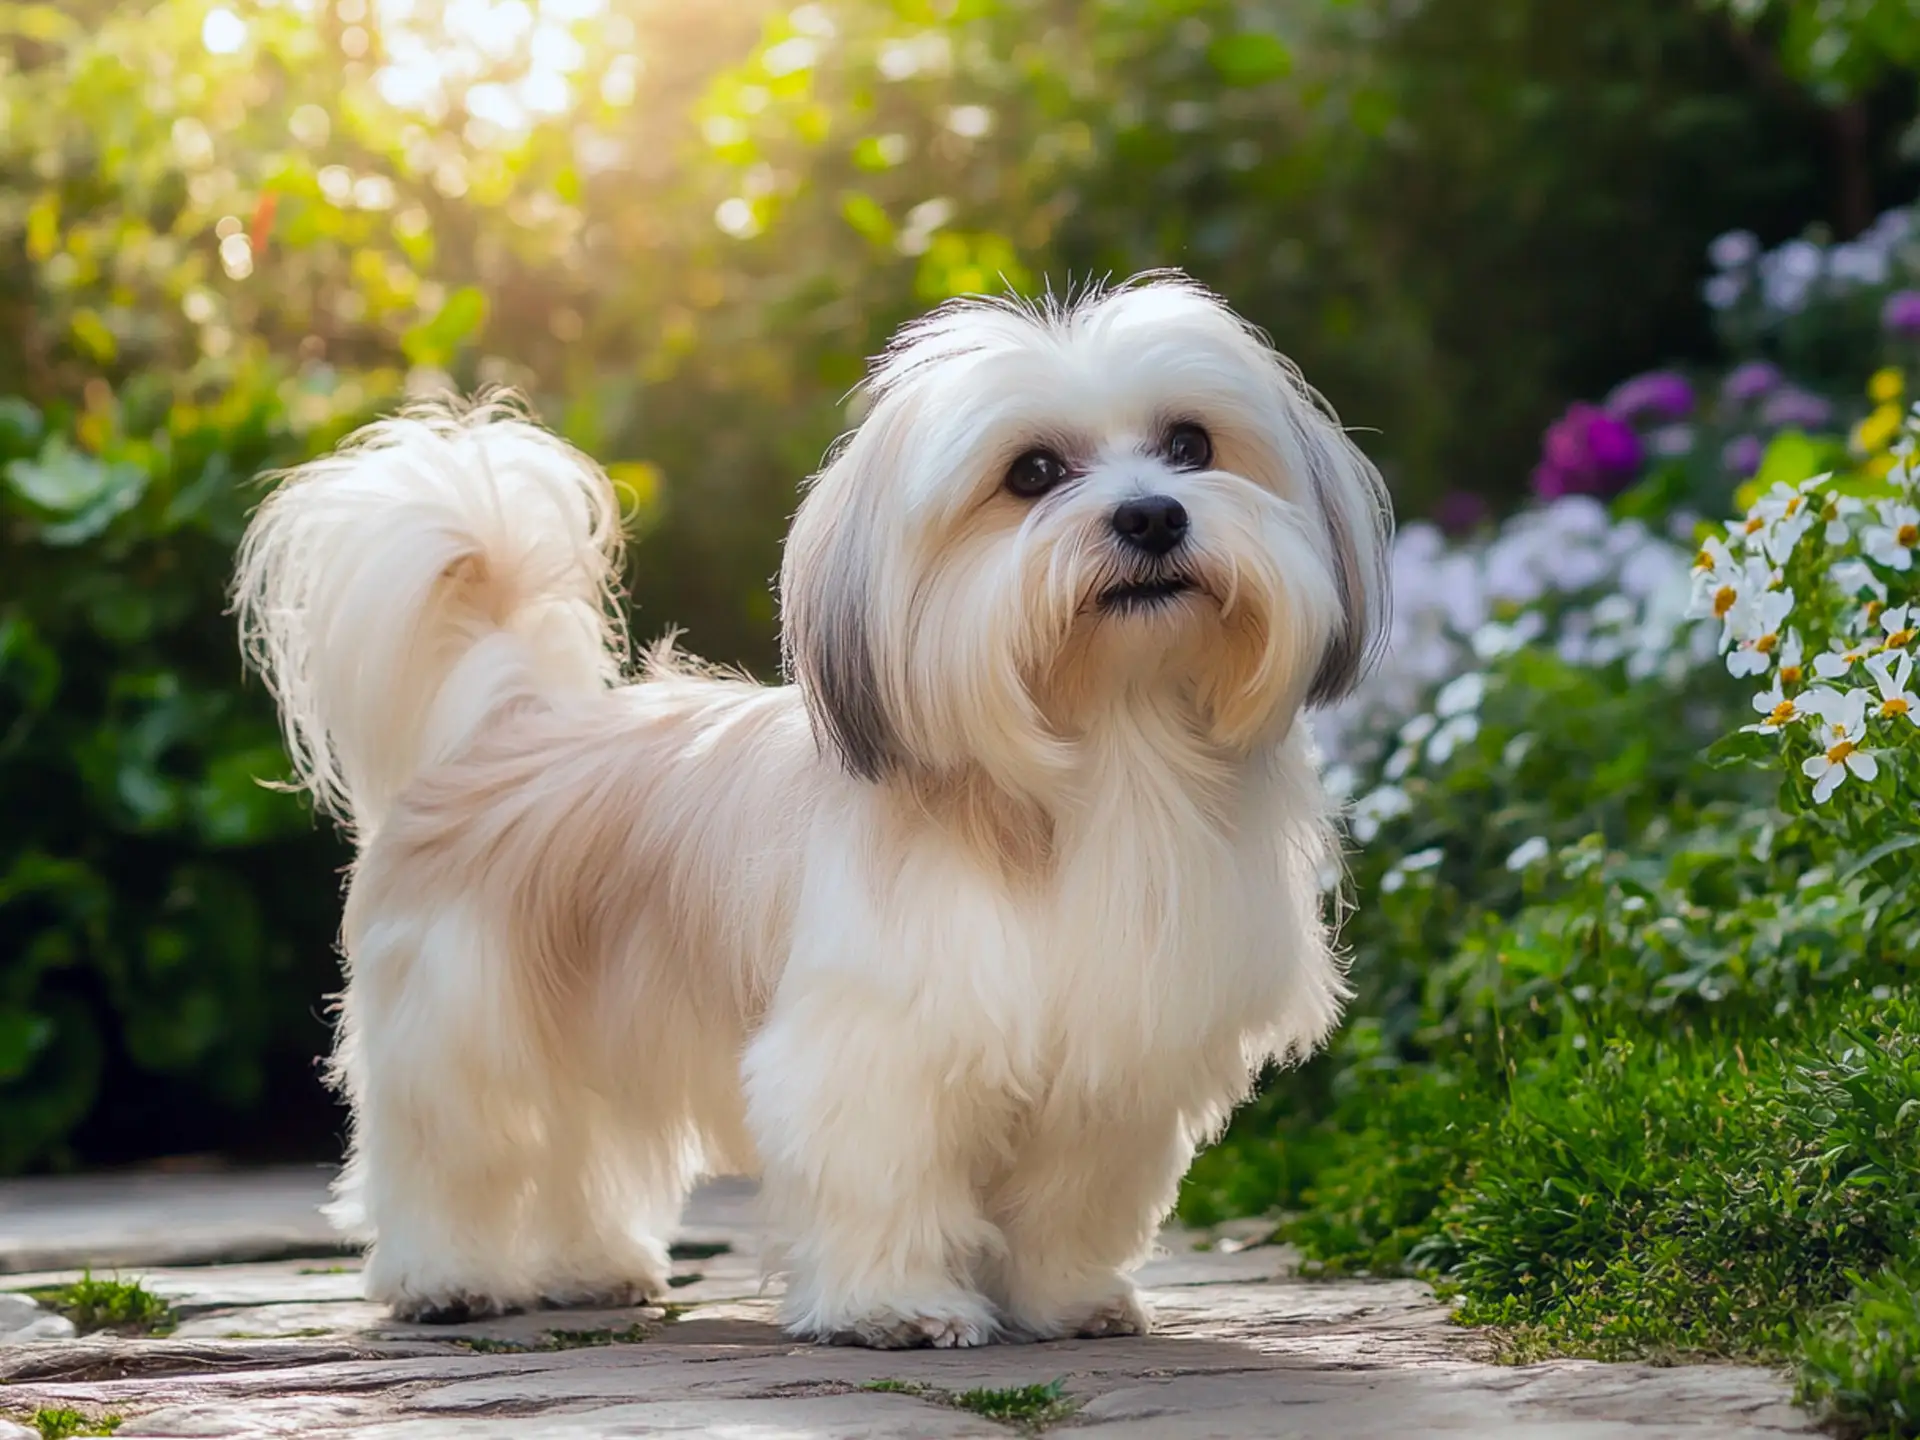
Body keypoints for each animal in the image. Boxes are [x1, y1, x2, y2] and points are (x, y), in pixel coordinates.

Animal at [232, 272, 1390, 1351]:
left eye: (1191, 444)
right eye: (1032, 473)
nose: (1153, 514)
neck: (1106, 745)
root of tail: (508, 717)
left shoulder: (1116, 1060)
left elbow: (1072, 1201)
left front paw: (1065, 1301)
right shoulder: (880, 1045)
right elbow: (888, 1179)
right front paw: (901, 1308)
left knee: (582, 1154)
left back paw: (591, 1270)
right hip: (466, 1020)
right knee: (461, 1151)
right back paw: (447, 1279)